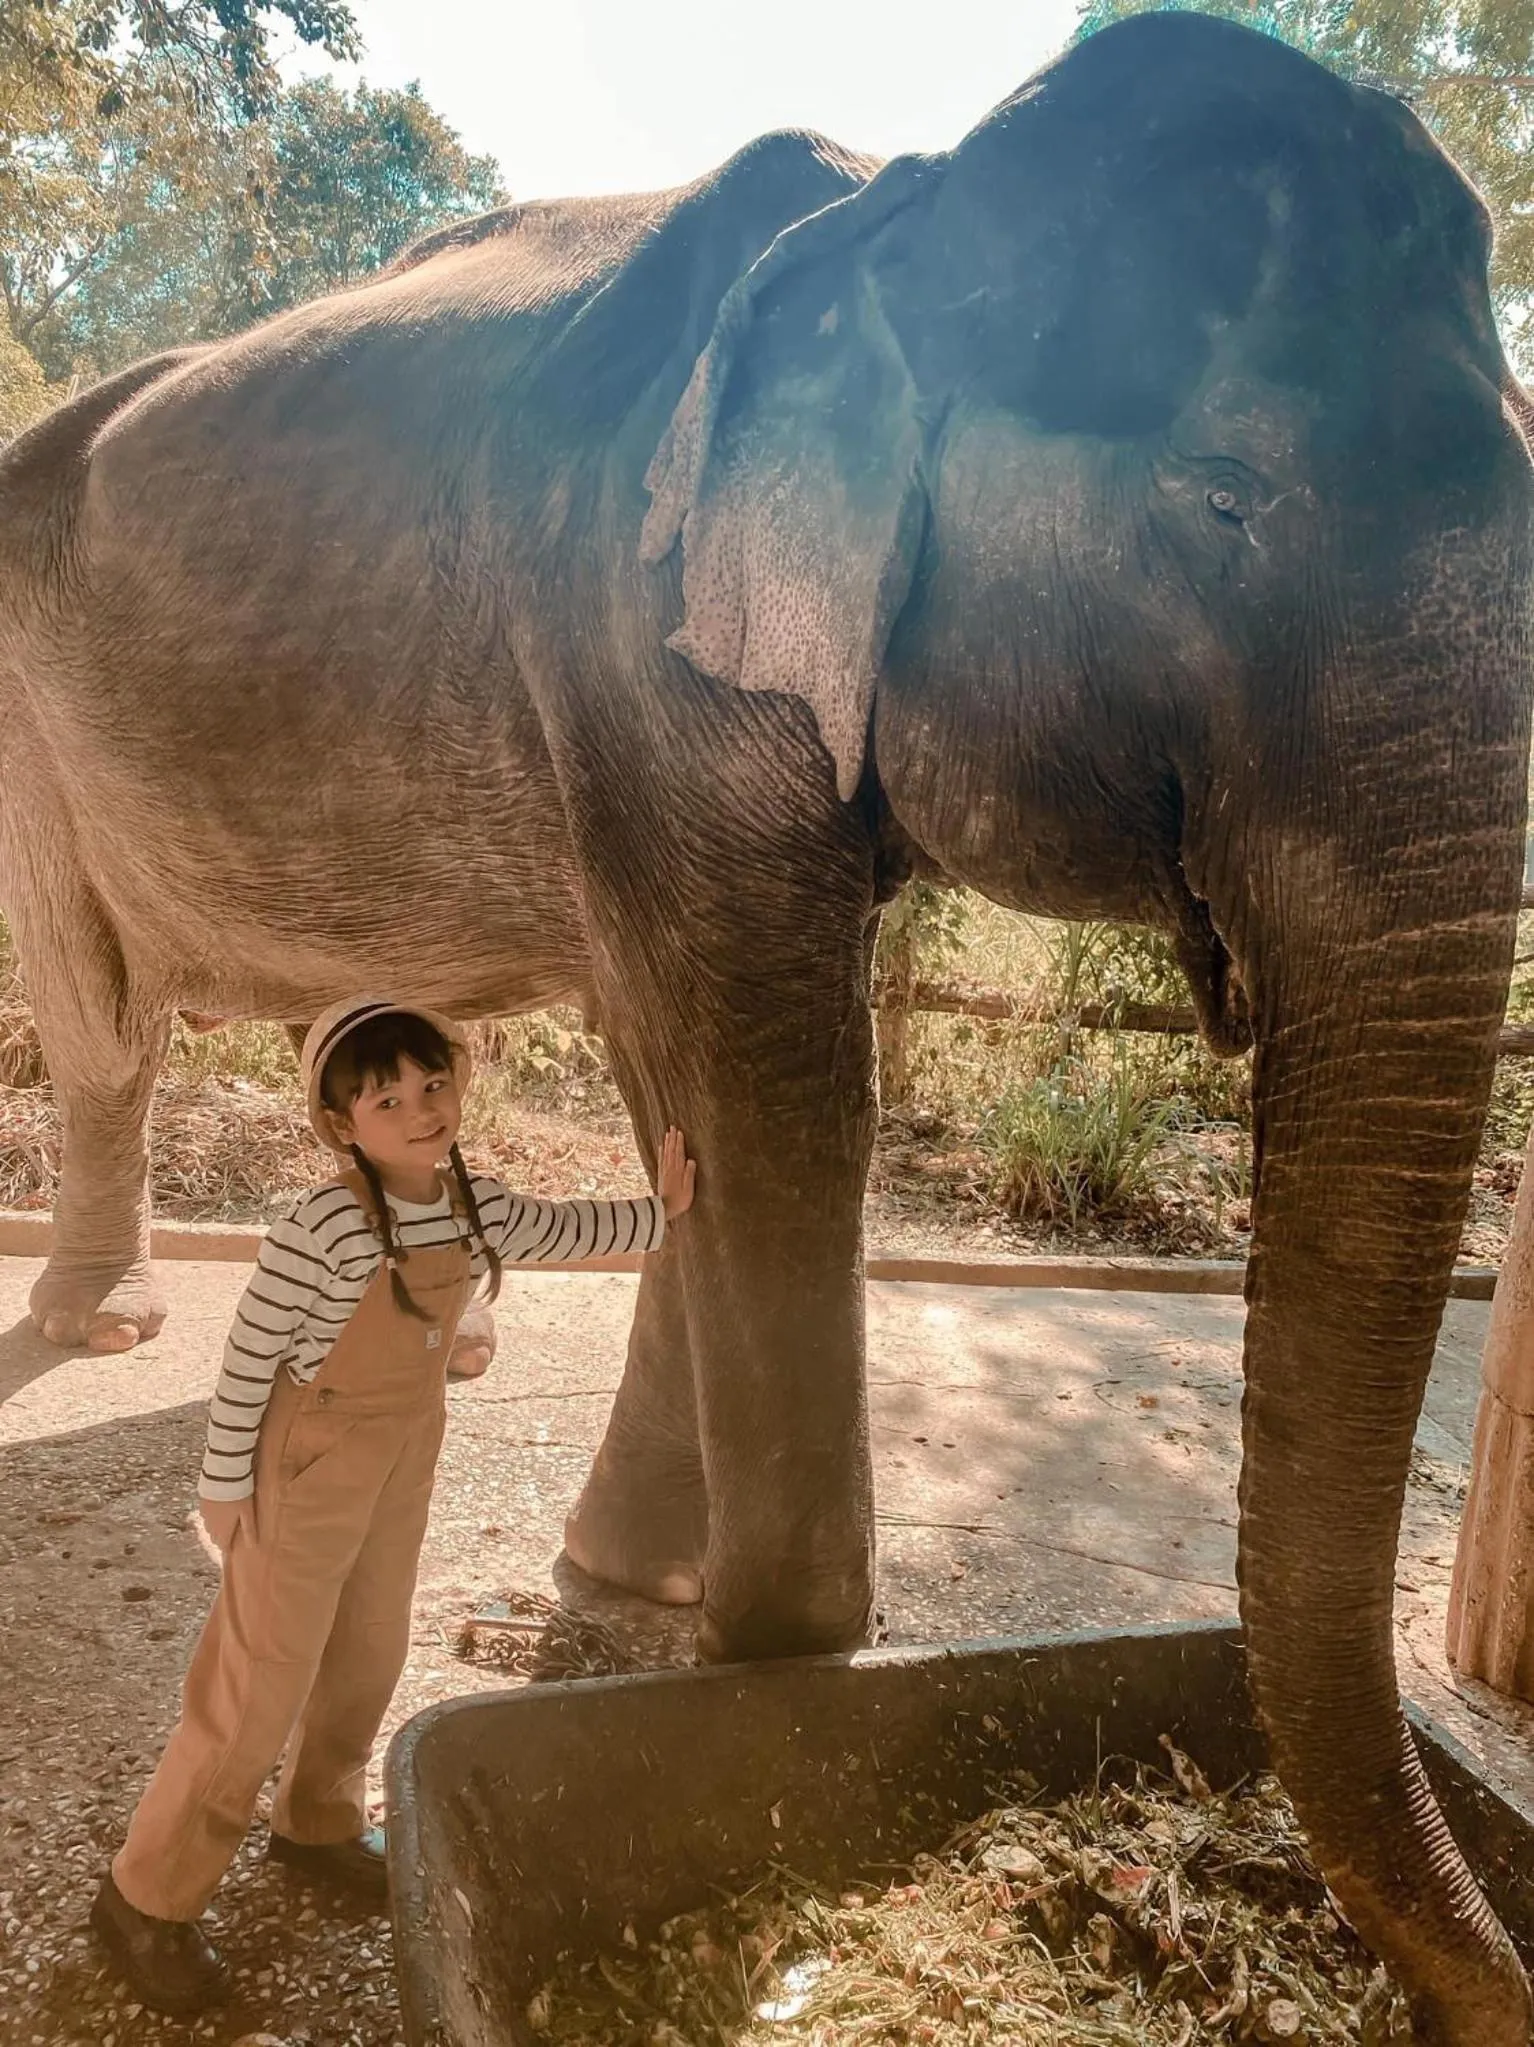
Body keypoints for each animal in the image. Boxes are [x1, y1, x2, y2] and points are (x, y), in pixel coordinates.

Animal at [0, 11, 1530, 2038]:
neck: (906, 194)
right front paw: (757, 1661)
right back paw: (110, 1320)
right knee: (94, 1006)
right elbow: (769, 1085)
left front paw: (623, 1601)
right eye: (1220, 496)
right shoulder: (632, 645)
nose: (1483, 1982)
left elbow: (693, 1088)